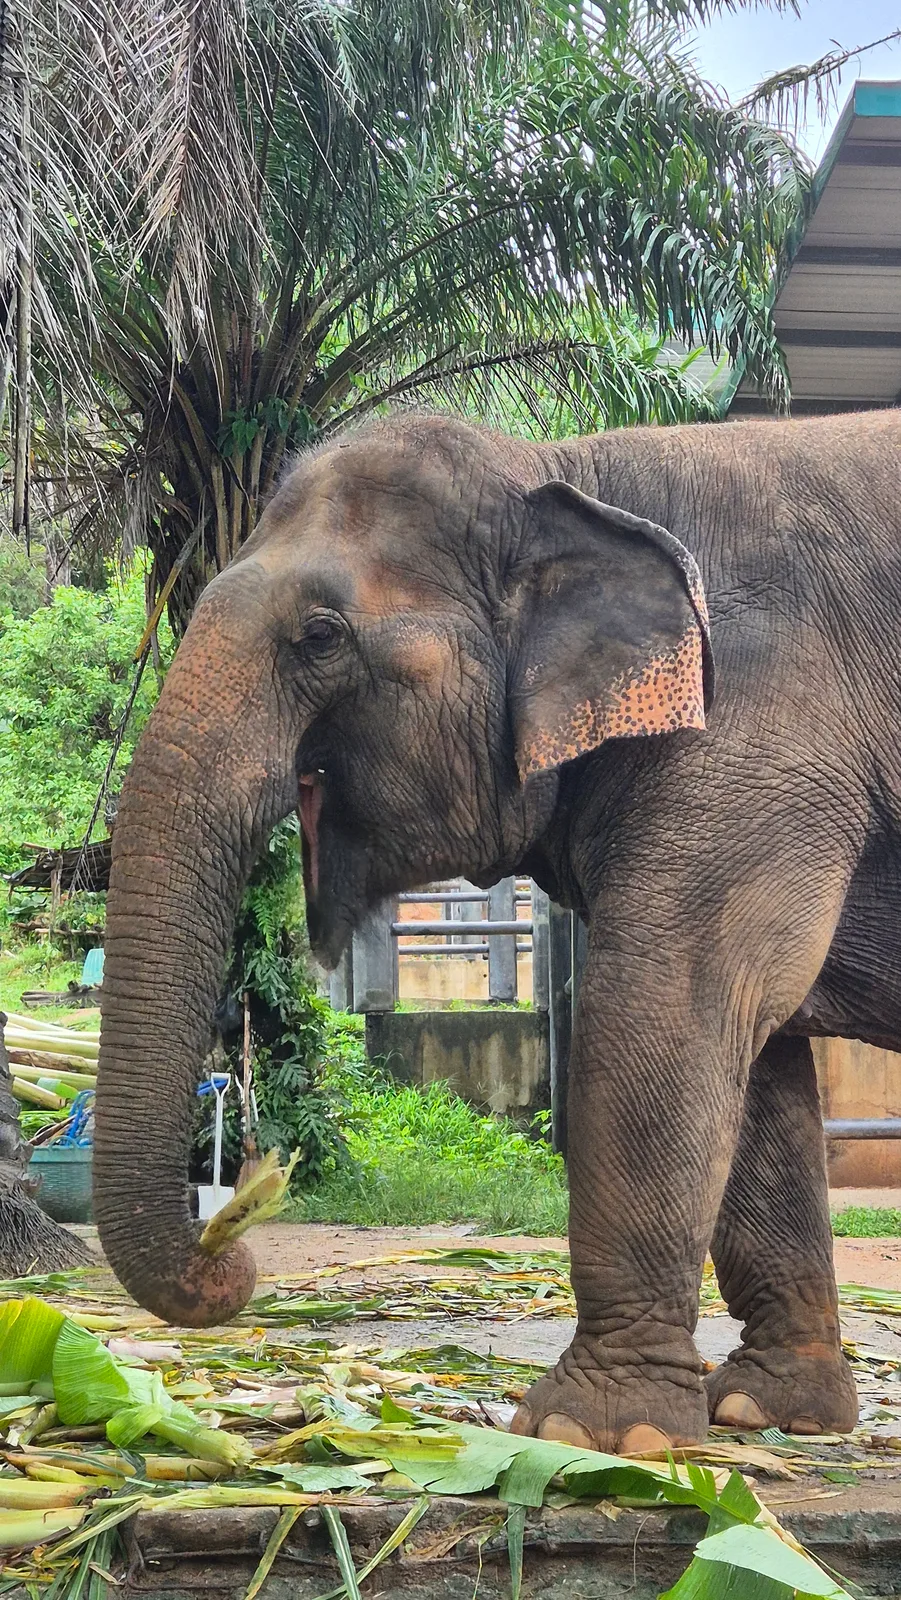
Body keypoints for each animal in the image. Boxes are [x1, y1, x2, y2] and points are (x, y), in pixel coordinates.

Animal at [95, 405, 901, 1453]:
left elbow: (669, 1008)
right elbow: (755, 1053)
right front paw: (766, 1410)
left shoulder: (761, 736)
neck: (565, 472)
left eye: (319, 635)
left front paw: (593, 1436)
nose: (230, 1246)